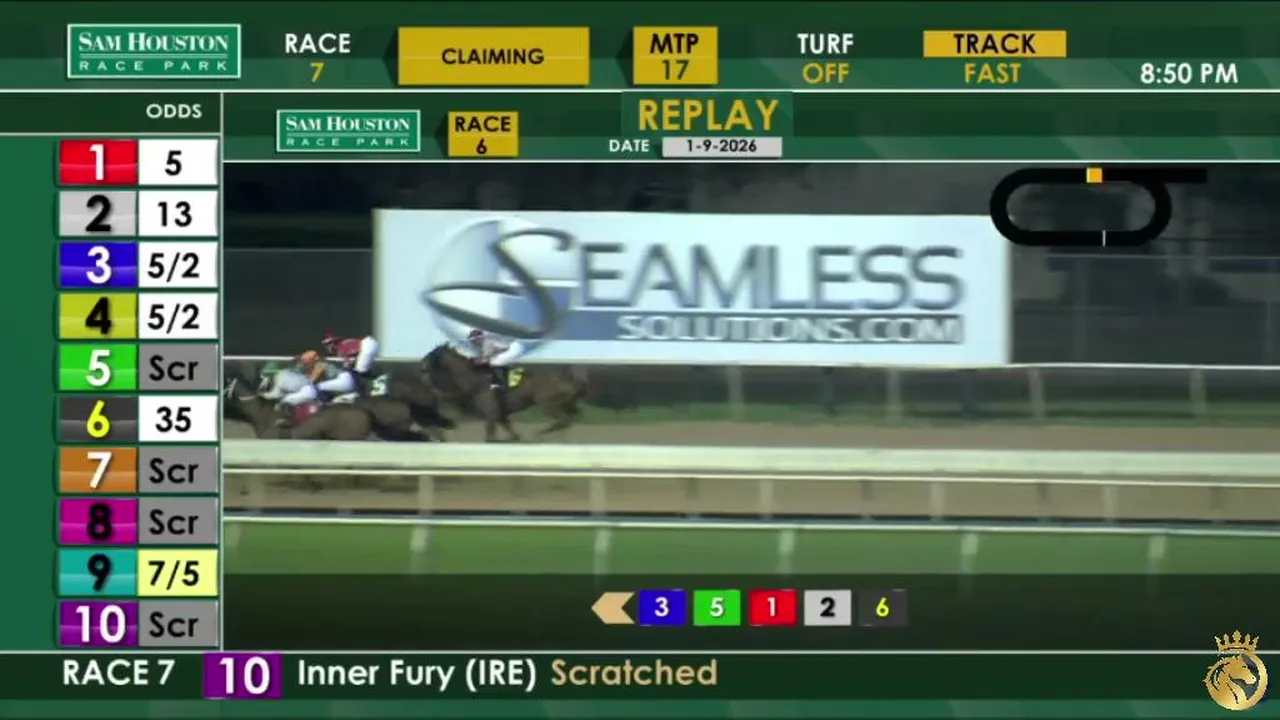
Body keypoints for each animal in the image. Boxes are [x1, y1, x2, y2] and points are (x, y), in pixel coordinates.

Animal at [420, 343, 587, 442]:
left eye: (433, 353)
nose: (422, 365)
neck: (475, 379)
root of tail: (569, 378)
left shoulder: (491, 413)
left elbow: (490, 436)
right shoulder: (501, 415)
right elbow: (512, 435)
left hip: (547, 404)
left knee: (563, 420)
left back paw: (539, 434)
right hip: (565, 403)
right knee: (571, 417)